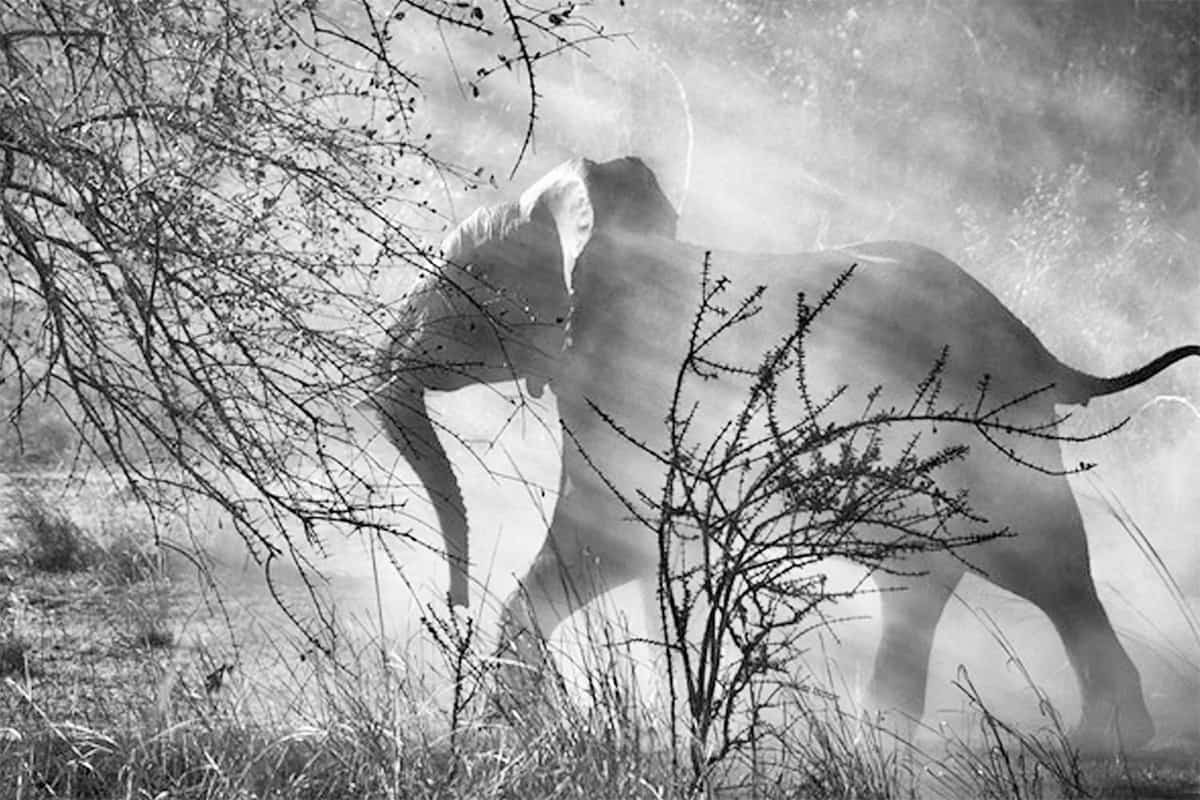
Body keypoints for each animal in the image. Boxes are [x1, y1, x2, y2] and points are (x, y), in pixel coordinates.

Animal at [376, 154, 1200, 753]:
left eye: (460, 279)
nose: (448, 603)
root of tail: (1040, 346)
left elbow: (609, 541)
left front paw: (509, 728)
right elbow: (635, 556)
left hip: (994, 433)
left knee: (1044, 563)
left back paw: (1105, 740)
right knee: (930, 580)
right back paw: (891, 740)